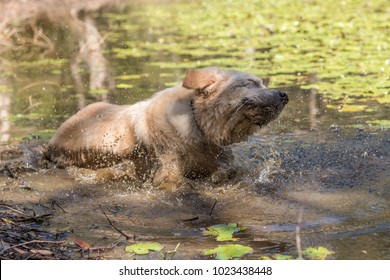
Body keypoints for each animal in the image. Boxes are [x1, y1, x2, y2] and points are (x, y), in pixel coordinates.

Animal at [46, 66, 290, 187]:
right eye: (251, 83)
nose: (284, 95)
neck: (198, 126)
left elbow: (231, 169)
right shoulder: (167, 169)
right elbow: (178, 181)